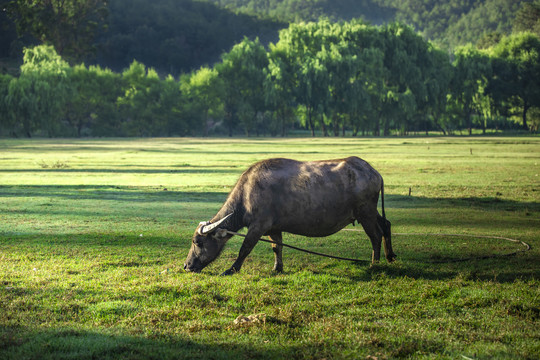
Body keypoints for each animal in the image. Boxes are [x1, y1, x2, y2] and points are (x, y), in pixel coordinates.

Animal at [184, 156, 394, 274]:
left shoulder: (258, 226)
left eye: (198, 242)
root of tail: (374, 172)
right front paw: (277, 268)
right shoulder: (273, 228)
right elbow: (277, 248)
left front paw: (231, 269)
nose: (187, 266)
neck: (247, 194)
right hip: (370, 211)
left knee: (375, 235)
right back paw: (390, 256)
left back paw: (374, 263)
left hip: (365, 213)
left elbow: (245, 248)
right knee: (386, 224)